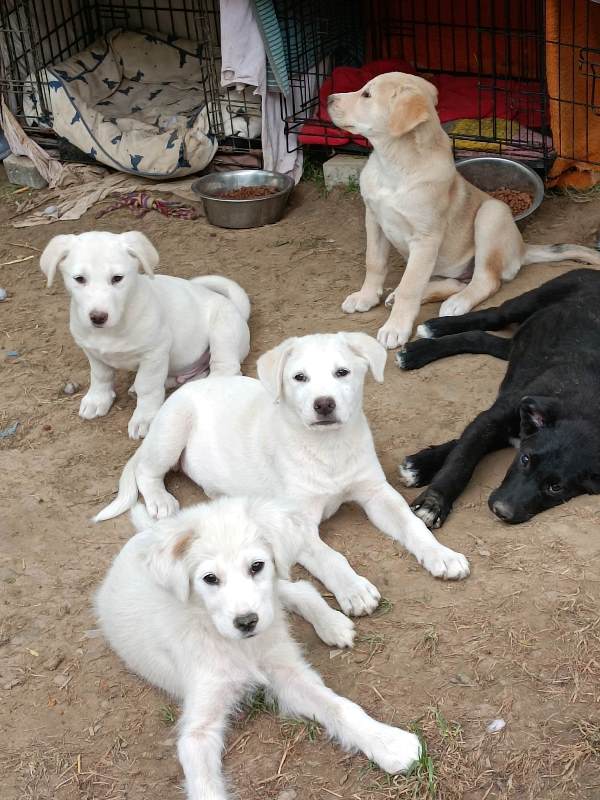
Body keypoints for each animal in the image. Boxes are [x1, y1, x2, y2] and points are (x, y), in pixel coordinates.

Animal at [39, 228, 251, 440]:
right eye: (80, 279)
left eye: (117, 278)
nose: (98, 317)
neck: (115, 328)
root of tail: (238, 310)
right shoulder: (92, 352)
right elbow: (101, 376)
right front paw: (97, 399)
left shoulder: (154, 354)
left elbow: (147, 387)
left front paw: (144, 419)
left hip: (223, 332)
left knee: (224, 369)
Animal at [94, 332, 468, 620]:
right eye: (299, 378)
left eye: (342, 372)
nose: (324, 404)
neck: (329, 448)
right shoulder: (295, 523)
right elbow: (330, 556)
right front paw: (354, 589)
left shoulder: (377, 492)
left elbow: (412, 525)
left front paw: (442, 555)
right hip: (172, 431)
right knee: (147, 471)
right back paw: (160, 501)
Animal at [95, 496, 422, 796]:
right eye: (209, 578)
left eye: (256, 566)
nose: (247, 622)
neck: (237, 646)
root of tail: (146, 534)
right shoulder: (198, 730)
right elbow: (205, 786)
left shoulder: (288, 674)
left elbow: (341, 707)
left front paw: (389, 742)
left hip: (273, 604)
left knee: (297, 589)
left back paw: (332, 623)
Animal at [328, 73, 600, 348]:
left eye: (367, 95)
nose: (328, 98)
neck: (393, 164)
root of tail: (523, 247)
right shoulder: (373, 218)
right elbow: (374, 263)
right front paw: (365, 297)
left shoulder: (425, 239)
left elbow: (410, 286)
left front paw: (395, 328)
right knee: (453, 282)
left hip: (491, 214)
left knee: (485, 280)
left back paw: (456, 303)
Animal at [396, 268, 600, 528]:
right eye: (524, 460)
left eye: (556, 487)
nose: (502, 511)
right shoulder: (494, 418)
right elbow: (460, 461)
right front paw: (433, 503)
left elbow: (459, 446)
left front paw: (420, 466)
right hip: (531, 299)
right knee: (491, 316)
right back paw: (429, 336)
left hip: (519, 345)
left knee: (483, 339)